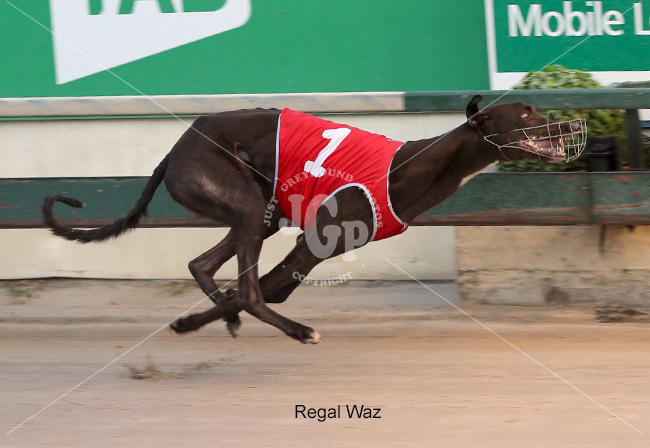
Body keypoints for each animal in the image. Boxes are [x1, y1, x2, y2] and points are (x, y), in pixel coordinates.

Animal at [42, 95, 585, 344]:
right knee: (247, 289)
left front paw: (194, 321)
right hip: (243, 204)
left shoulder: (313, 250)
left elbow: (267, 289)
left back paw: (228, 315)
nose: (569, 123)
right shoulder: (311, 245)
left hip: (260, 214)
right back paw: (297, 330)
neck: (408, 165)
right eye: (527, 113)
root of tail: (177, 148)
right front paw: (194, 322)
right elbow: (260, 290)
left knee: (204, 266)